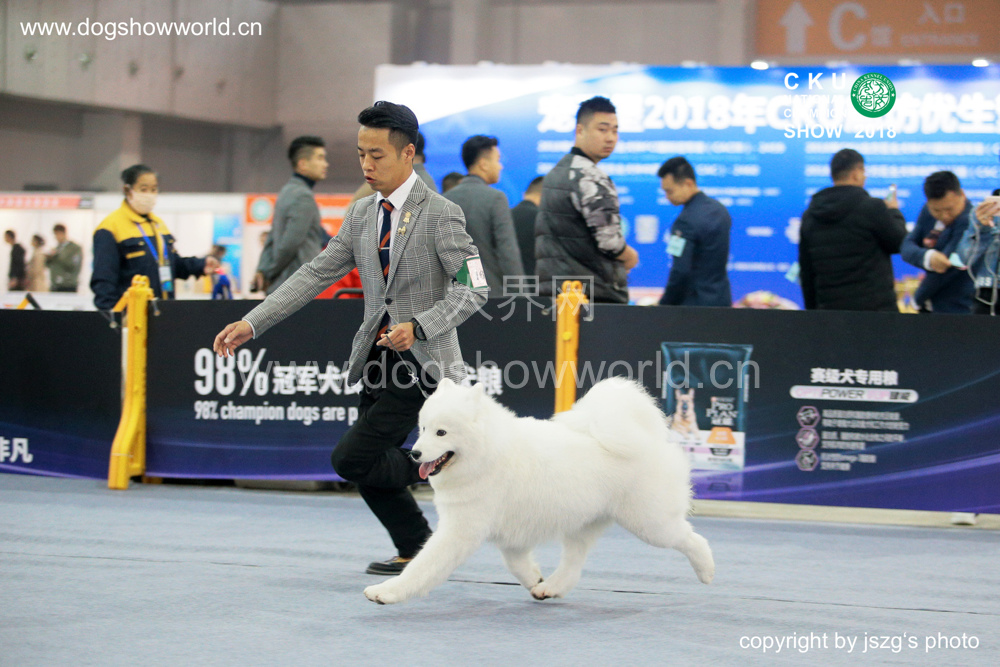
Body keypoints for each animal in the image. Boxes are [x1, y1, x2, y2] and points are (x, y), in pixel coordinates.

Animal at [363, 377, 715, 605]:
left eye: (441, 432)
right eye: (422, 428)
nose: (415, 454)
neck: (487, 453)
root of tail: (650, 438)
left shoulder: (460, 531)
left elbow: (423, 566)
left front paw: (387, 592)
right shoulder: (510, 536)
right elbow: (517, 564)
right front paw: (535, 578)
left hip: (649, 523)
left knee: (690, 538)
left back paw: (707, 570)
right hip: (584, 523)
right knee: (573, 564)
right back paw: (551, 588)